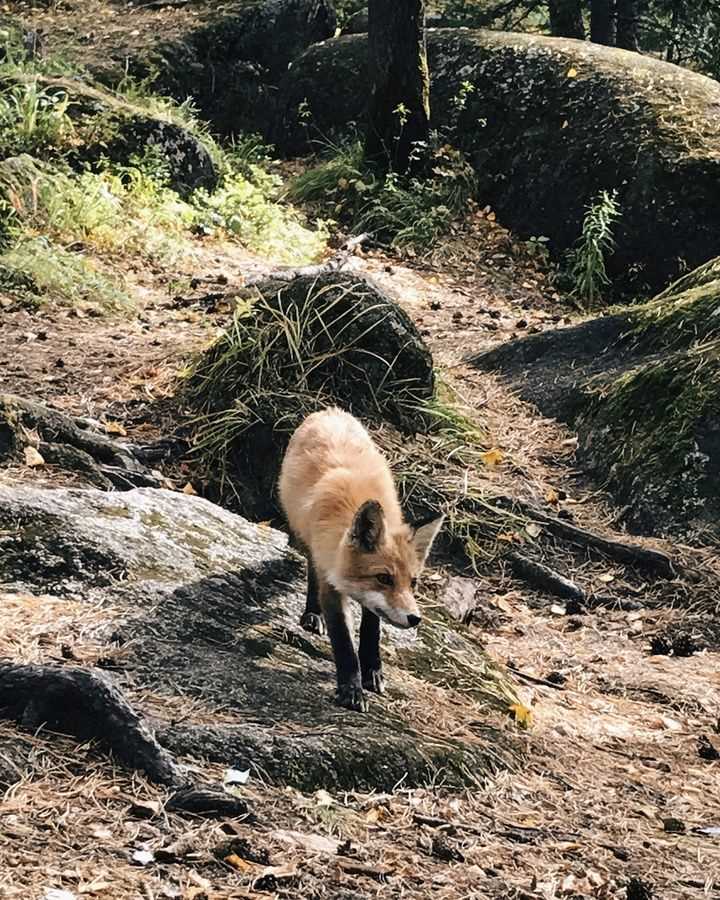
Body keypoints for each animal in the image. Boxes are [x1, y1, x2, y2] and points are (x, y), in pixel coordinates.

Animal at [278, 406, 442, 712]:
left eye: (413, 583)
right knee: (311, 574)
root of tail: (330, 410)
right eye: (384, 578)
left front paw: (373, 670)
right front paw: (351, 688)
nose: (415, 619)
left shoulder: (372, 602)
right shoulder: (330, 578)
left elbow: (371, 630)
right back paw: (312, 613)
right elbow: (343, 641)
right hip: (306, 538)